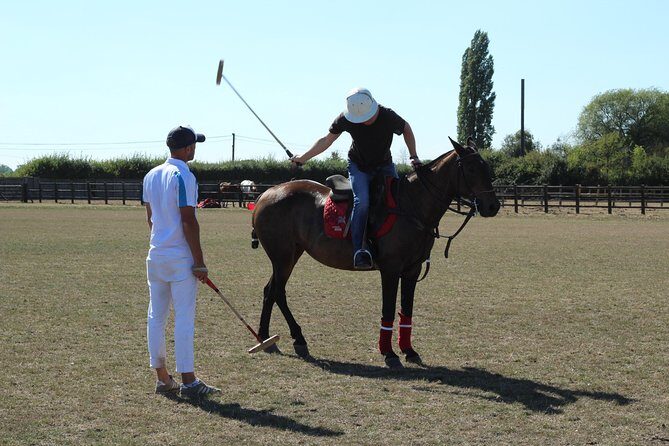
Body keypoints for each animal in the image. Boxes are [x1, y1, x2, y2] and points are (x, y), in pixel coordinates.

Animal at [251, 137, 500, 368]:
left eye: (486, 166)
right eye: (471, 168)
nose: (493, 206)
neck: (411, 205)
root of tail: (266, 193)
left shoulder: (412, 269)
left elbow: (406, 309)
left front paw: (409, 351)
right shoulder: (390, 269)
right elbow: (388, 309)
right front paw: (389, 353)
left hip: (291, 253)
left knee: (271, 291)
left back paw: (274, 338)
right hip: (282, 256)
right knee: (276, 291)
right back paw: (283, 338)